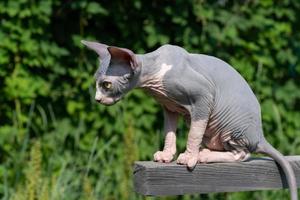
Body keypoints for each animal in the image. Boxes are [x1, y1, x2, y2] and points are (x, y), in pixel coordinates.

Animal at [82, 39, 298, 199]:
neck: (155, 76)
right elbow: (169, 132)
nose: (97, 99)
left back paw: (204, 155)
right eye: (96, 83)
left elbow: (194, 134)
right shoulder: (168, 107)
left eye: (106, 85)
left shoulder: (204, 97)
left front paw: (189, 157)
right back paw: (206, 151)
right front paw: (166, 156)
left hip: (232, 127)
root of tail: (260, 136)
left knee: (242, 154)